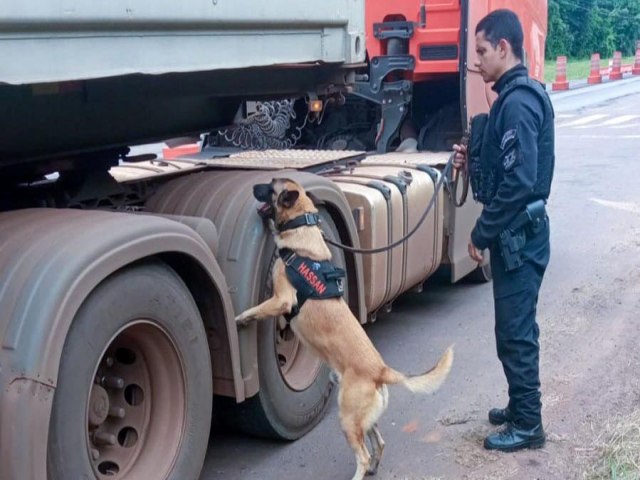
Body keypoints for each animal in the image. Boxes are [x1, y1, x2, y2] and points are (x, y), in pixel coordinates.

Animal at [238, 177, 452, 480]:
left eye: (269, 187)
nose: (253, 186)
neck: (302, 230)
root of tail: (381, 371)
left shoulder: (281, 299)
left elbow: (257, 309)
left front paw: (241, 318)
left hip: (348, 419)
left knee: (363, 455)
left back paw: (362, 471)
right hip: (363, 420)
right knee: (379, 443)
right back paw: (374, 467)